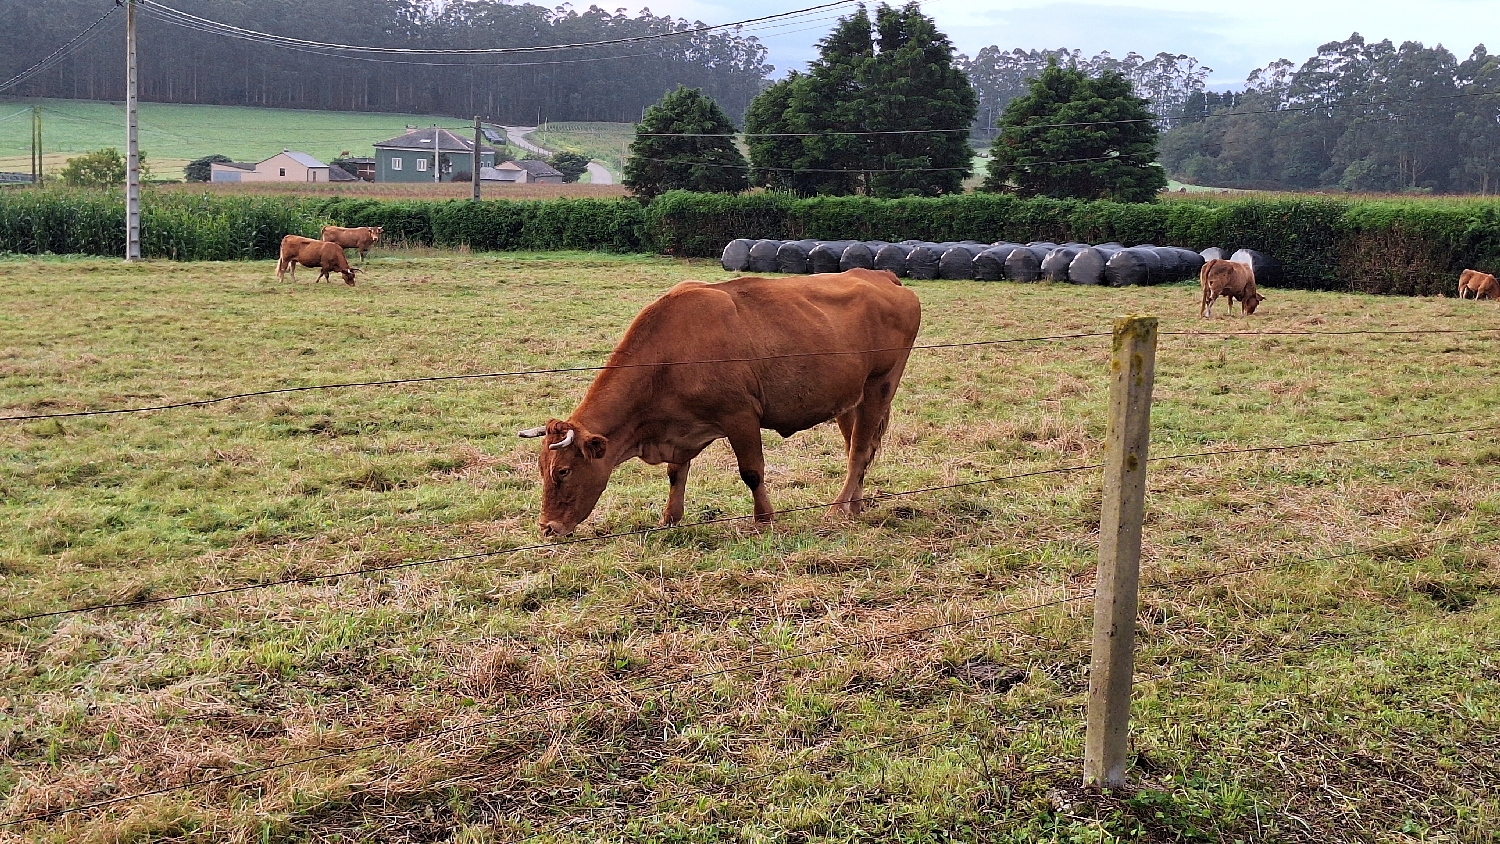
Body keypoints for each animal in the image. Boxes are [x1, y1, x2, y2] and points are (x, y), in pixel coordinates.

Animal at [516, 266, 918, 539]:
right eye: (541, 468)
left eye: (563, 471)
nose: (547, 527)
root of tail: (881, 275)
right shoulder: (681, 430)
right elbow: (676, 473)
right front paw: (670, 518)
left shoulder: (740, 415)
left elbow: (752, 472)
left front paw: (764, 520)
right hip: (849, 400)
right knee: (859, 448)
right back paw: (855, 506)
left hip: (880, 387)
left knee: (859, 452)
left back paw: (837, 510)